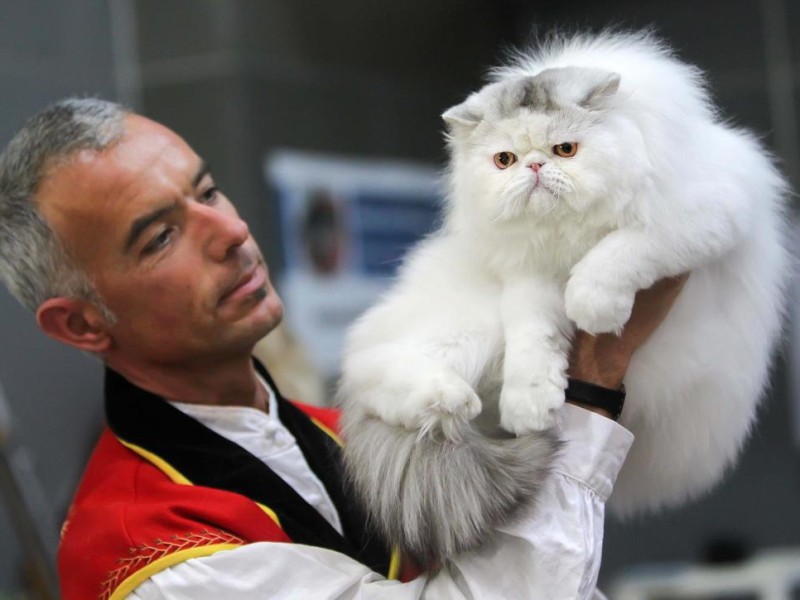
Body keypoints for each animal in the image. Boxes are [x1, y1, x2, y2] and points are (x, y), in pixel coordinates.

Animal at [340, 31, 792, 568]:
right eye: (504, 161)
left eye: (566, 149)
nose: (536, 166)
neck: (566, 237)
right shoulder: (527, 277)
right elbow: (533, 341)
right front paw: (531, 402)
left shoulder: (696, 215)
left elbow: (620, 250)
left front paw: (590, 308)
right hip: (469, 328)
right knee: (371, 367)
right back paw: (451, 399)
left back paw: (451, 406)